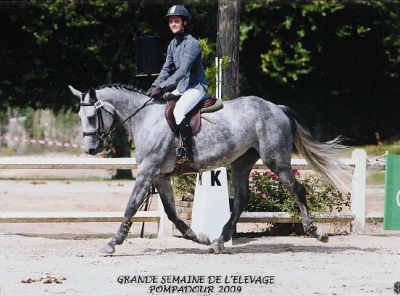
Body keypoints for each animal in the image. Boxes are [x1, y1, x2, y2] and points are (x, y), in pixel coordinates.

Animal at [69, 84, 354, 254]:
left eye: (92, 117)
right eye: (81, 117)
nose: (91, 149)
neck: (144, 120)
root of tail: (276, 107)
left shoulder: (148, 172)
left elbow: (131, 205)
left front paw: (112, 243)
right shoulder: (160, 176)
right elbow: (171, 212)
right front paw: (198, 237)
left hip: (276, 161)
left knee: (297, 189)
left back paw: (316, 232)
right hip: (241, 163)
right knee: (241, 200)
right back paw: (218, 241)